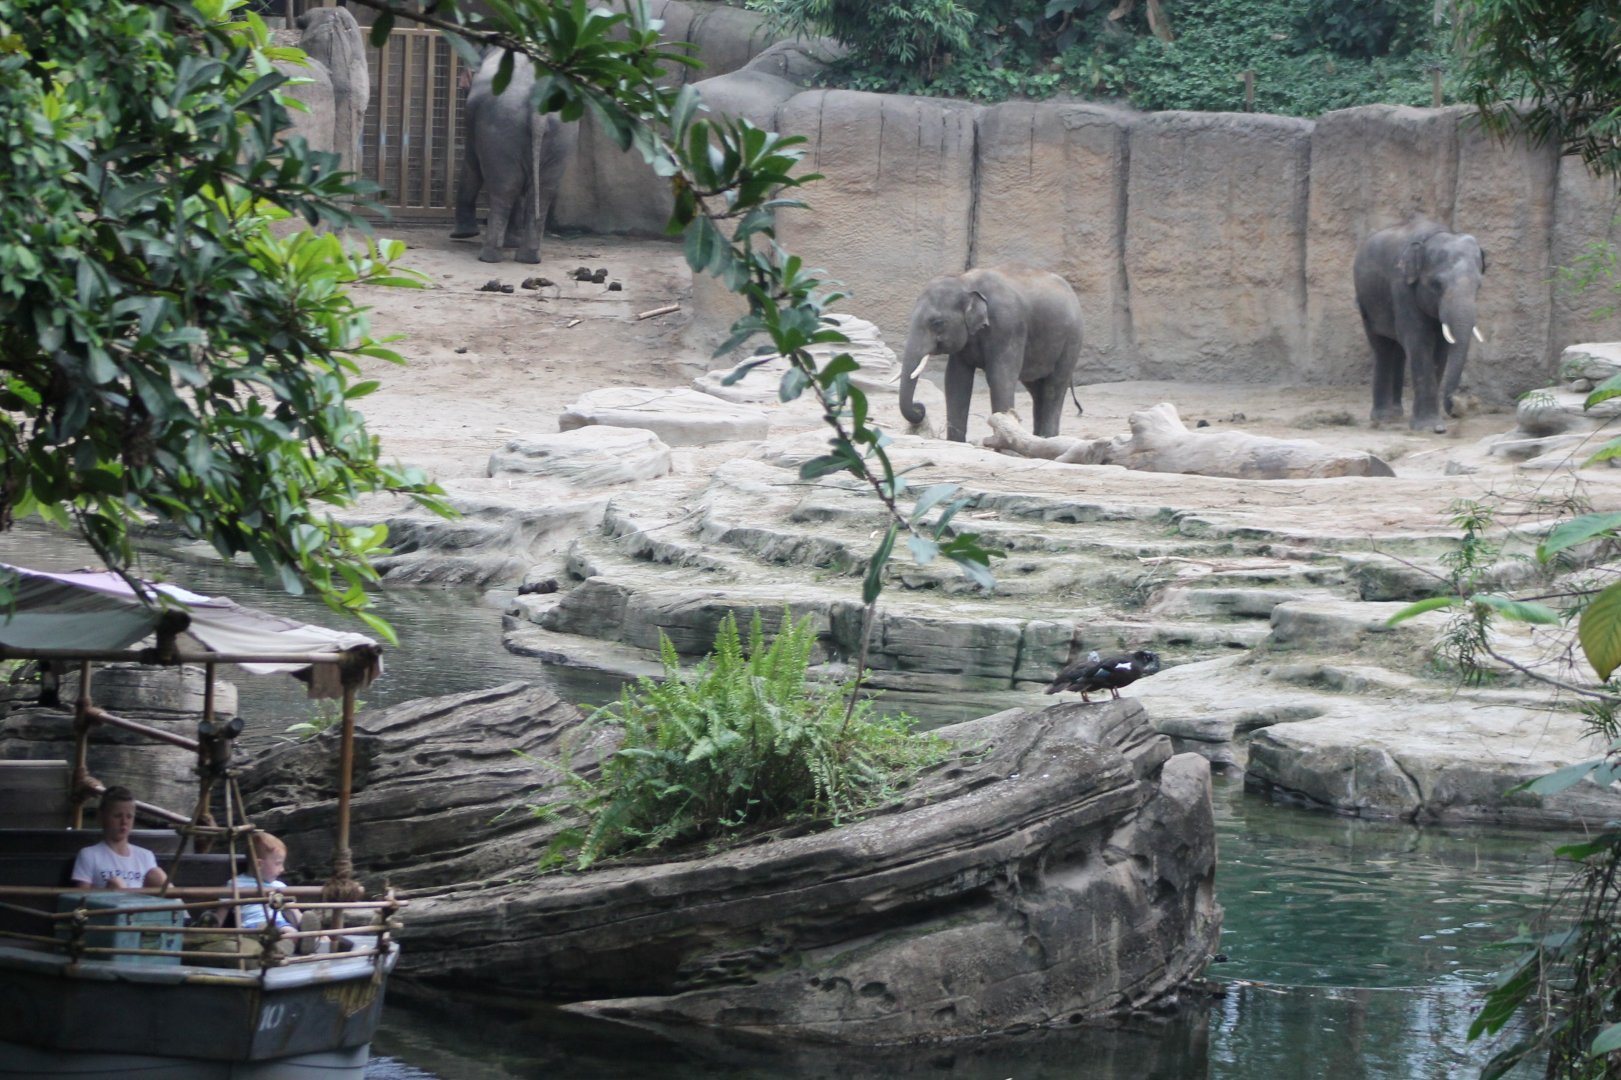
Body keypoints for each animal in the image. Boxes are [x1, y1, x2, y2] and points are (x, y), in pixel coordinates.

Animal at [450, 51, 579, 264]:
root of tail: (538, 108)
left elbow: (471, 164)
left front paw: (462, 234)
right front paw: (512, 242)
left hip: (501, 125)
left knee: (503, 189)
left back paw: (488, 256)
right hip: (562, 134)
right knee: (542, 191)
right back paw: (529, 257)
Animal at [897, 264, 1084, 443]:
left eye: (937, 323)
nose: (919, 408)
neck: (965, 281)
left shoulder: (1008, 325)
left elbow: (1000, 377)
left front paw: (1003, 441)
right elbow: (956, 379)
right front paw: (957, 442)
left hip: (1072, 339)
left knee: (1054, 386)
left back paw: (1047, 437)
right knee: (1036, 389)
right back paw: (1038, 438)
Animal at [1352, 216, 1487, 433]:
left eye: (1479, 286)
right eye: (1437, 285)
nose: (1457, 409)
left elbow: (1441, 348)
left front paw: (1434, 425)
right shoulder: (1401, 285)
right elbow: (1419, 340)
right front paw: (1431, 427)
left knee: (1399, 350)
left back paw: (1396, 413)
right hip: (1365, 302)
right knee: (1382, 349)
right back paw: (1383, 417)